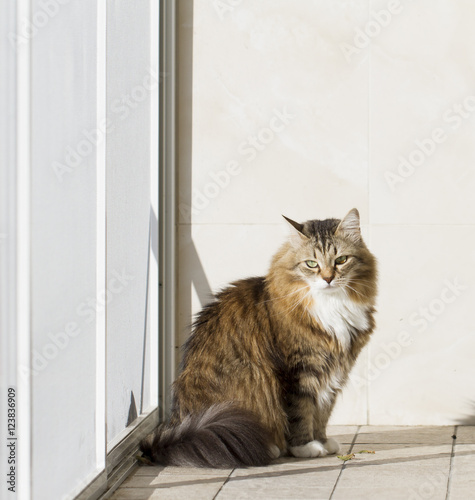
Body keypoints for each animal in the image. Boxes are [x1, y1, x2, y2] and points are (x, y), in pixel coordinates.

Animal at [139, 207, 378, 468]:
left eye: (341, 260)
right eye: (311, 264)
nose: (327, 279)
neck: (332, 304)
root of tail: (173, 434)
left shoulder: (334, 371)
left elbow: (323, 412)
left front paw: (323, 442)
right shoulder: (299, 372)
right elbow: (301, 413)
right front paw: (306, 447)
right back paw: (269, 448)